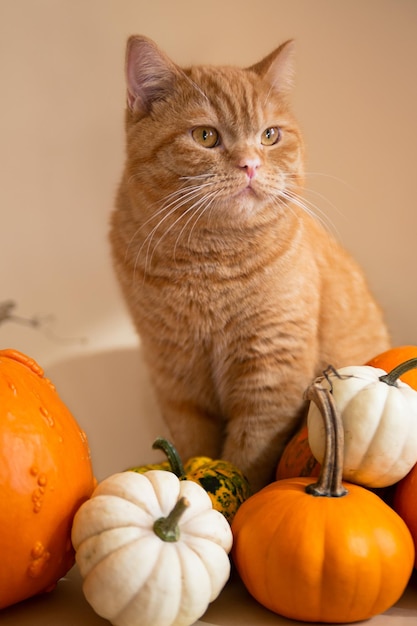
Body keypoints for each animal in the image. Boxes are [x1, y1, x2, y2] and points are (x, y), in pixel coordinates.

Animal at [111, 36, 390, 490]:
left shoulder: (271, 377)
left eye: (270, 135)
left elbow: (247, 460)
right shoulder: (177, 382)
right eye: (205, 135)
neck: (210, 263)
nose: (250, 164)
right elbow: (191, 451)